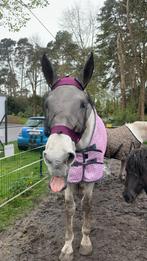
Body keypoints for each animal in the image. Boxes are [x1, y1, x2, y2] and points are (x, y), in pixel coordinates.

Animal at [41, 51, 107, 258]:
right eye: (46, 104)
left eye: (83, 104)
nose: (57, 159)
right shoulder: (68, 181)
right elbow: (70, 208)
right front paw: (68, 246)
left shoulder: (90, 178)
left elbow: (87, 205)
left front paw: (85, 242)